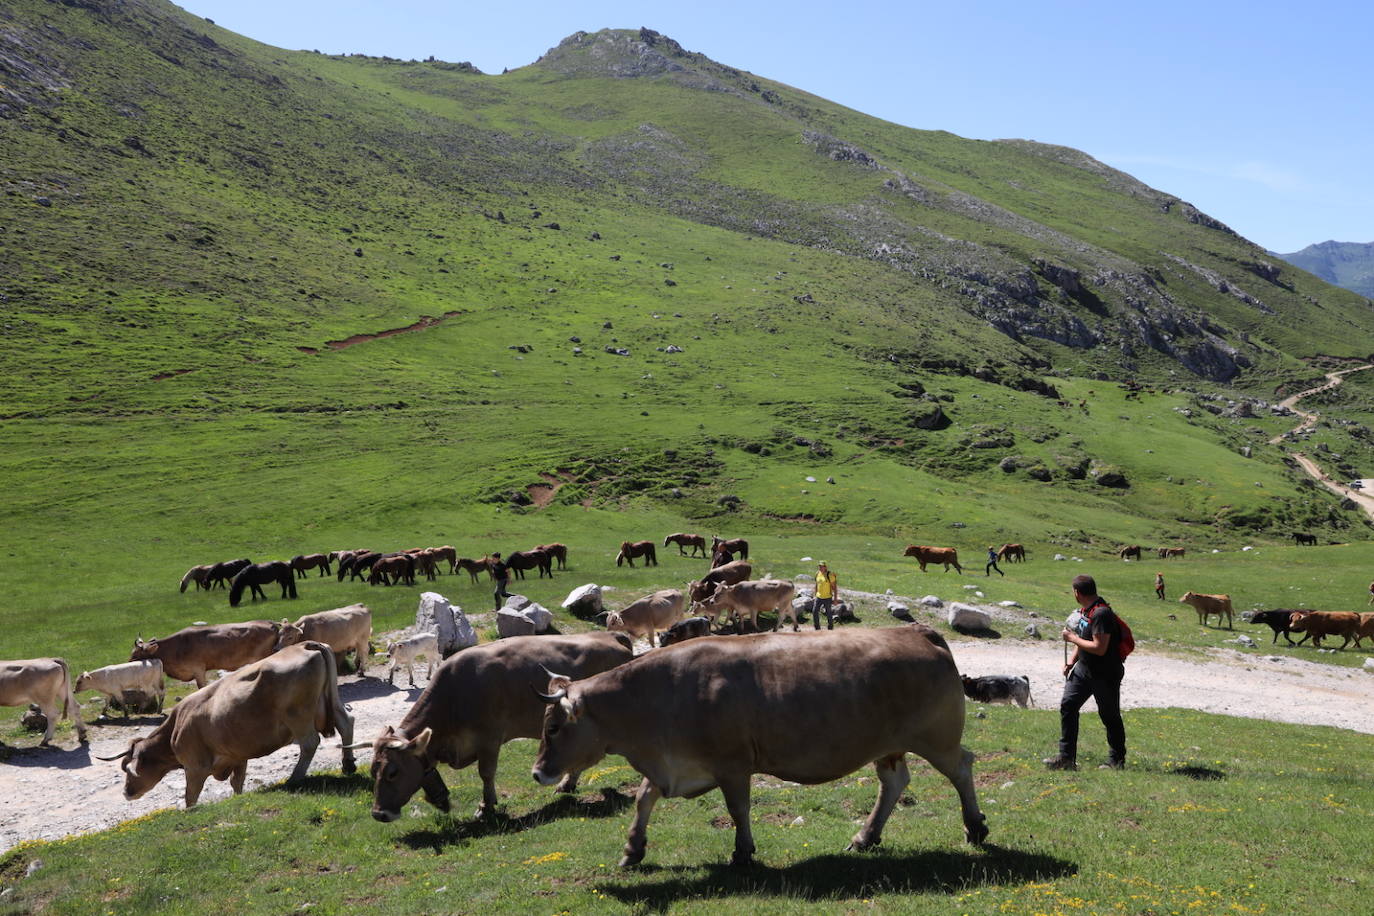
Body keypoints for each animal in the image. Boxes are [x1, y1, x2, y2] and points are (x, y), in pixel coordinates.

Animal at [103, 642, 359, 807]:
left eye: (130, 769)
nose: (126, 792)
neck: (176, 726)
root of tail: (304, 645)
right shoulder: (238, 755)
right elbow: (237, 784)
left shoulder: (195, 766)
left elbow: (190, 797)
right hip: (332, 702)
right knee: (346, 723)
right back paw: (348, 764)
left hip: (298, 715)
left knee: (309, 742)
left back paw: (294, 778)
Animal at [354, 634, 632, 818]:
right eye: (372, 771)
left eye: (392, 772)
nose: (378, 814)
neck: (454, 694)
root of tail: (610, 636)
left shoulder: (489, 739)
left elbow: (486, 773)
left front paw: (485, 807)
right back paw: (567, 784)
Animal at [527, 626, 989, 873]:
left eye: (553, 727)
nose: (537, 773)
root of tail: (917, 631)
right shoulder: (668, 766)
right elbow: (643, 799)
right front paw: (632, 850)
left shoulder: (732, 765)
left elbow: (738, 810)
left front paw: (742, 853)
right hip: (888, 745)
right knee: (894, 782)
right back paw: (865, 836)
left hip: (937, 739)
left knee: (962, 768)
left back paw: (975, 827)